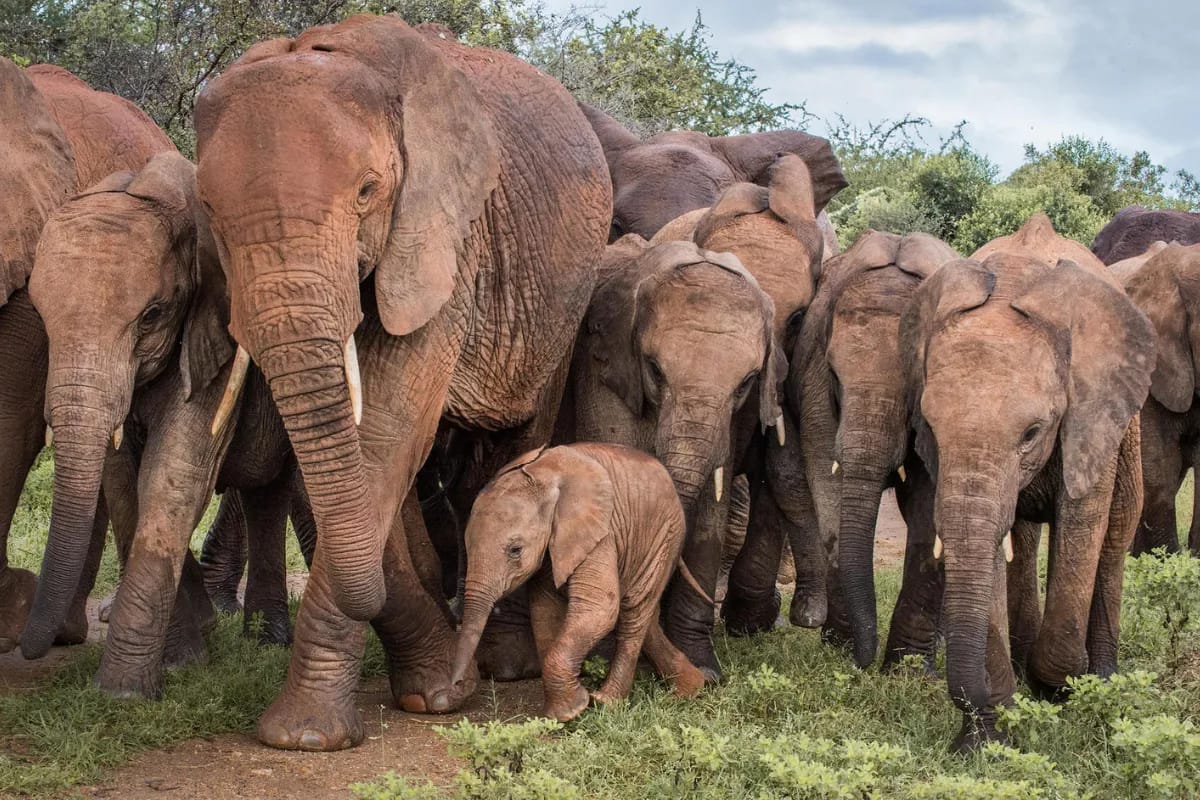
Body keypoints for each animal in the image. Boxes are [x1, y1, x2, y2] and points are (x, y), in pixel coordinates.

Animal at [192, 15, 610, 750]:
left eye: (366, 192)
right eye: (209, 208)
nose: (452, 682)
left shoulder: (443, 242)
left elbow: (384, 433)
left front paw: (308, 738)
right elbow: (367, 456)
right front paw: (432, 691)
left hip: (563, 302)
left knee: (518, 439)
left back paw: (503, 664)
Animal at [450, 444, 706, 721]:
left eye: (515, 550)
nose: (457, 685)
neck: (545, 478)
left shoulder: (600, 533)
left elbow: (599, 607)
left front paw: (574, 710)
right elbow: (544, 611)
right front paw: (562, 712)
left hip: (666, 534)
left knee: (634, 610)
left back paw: (608, 702)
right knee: (643, 611)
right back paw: (692, 688)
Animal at [565, 236, 784, 678]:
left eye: (747, 383)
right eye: (654, 369)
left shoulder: (732, 421)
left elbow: (711, 510)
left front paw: (703, 670)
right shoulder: (602, 367)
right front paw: (601, 663)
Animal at [767, 230, 960, 669]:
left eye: (914, 385)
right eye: (837, 376)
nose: (861, 662)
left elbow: (931, 507)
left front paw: (907, 670)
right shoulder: (815, 381)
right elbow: (825, 476)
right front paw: (840, 646)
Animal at [899, 246, 1153, 752]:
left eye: (1033, 433)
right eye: (930, 429)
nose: (975, 707)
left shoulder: (1089, 418)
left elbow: (1082, 526)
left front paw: (1057, 690)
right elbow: (992, 546)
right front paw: (986, 742)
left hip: (1129, 431)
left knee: (1116, 534)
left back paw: (1102, 678)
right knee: (1025, 539)